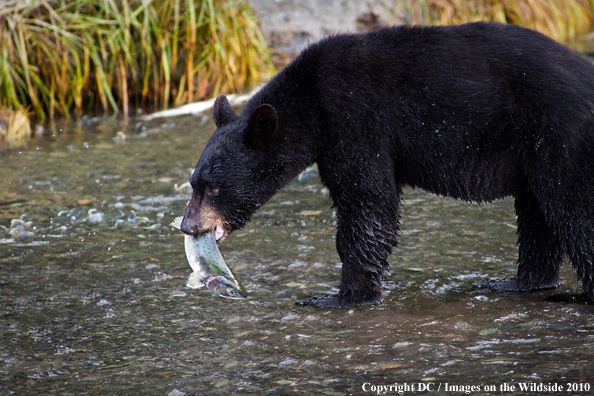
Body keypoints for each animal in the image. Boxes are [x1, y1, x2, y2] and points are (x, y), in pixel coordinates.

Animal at [180, 20, 592, 306]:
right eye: (193, 182)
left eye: (213, 187)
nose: (187, 226)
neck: (313, 104)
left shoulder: (356, 121)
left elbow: (368, 202)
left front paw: (341, 297)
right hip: (532, 151)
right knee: (539, 215)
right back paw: (519, 283)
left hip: (559, 134)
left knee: (573, 212)